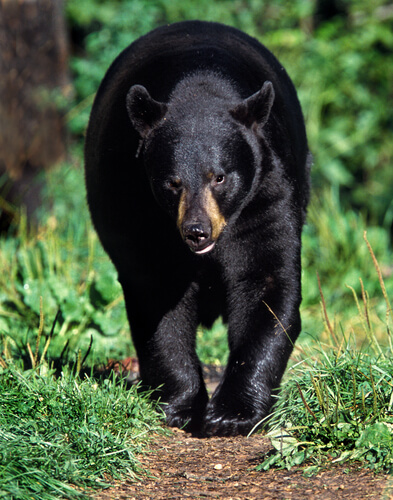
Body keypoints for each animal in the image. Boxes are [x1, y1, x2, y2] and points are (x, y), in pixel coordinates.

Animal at [85, 21, 310, 436]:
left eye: (218, 177)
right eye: (172, 182)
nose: (196, 231)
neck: (200, 89)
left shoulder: (267, 196)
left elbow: (267, 281)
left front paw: (231, 413)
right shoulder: (137, 207)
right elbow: (159, 294)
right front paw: (183, 405)